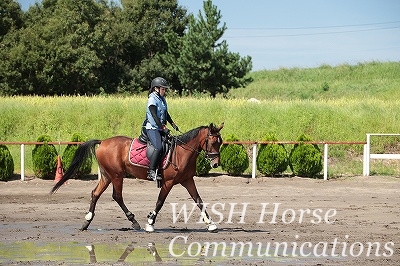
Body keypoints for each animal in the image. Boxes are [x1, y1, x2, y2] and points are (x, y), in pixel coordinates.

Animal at [50, 123, 223, 232]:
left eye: (220, 142)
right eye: (212, 141)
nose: (215, 164)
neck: (181, 152)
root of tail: (103, 142)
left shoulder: (187, 180)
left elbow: (198, 200)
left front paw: (211, 224)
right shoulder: (168, 182)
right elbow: (160, 202)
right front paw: (150, 223)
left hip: (107, 176)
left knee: (95, 193)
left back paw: (87, 221)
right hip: (117, 175)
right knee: (117, 196)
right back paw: (134, 221)